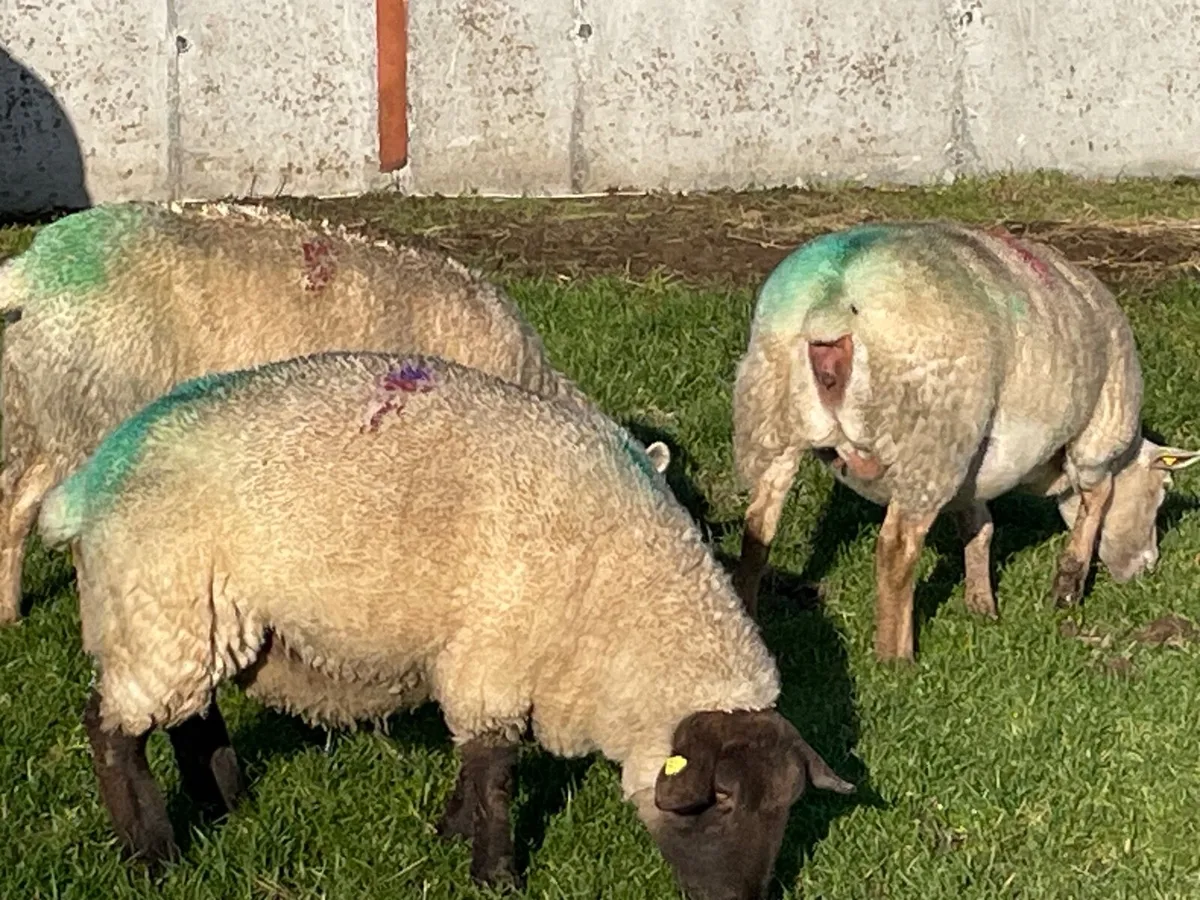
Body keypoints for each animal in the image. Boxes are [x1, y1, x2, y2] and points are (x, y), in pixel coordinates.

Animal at [37, 350, 852, 900]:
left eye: (788, 809)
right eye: (722, 800)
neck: (621, 603)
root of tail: (92, 477)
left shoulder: (482, 663)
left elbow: (476, 763)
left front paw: (450, 833)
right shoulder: (494, 655)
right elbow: (495, 772)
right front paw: (495, 873)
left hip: (200, 614)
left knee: (192, 713)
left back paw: (225, 801)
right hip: (155, 603)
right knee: (112, 728)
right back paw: (152, 853)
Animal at [730, 221, 1200, 662]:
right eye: (1161, 491)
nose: (1147, 567)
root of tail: (833, 298)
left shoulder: (974, 462)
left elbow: (979, 525)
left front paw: (981, 603)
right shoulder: (1098, 436)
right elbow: (1096, 502)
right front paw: (1067, 586)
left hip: (771, 419)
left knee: (757, 532)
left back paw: (751, 624)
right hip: (931, 435)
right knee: (897, 548)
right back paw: (896, 657)